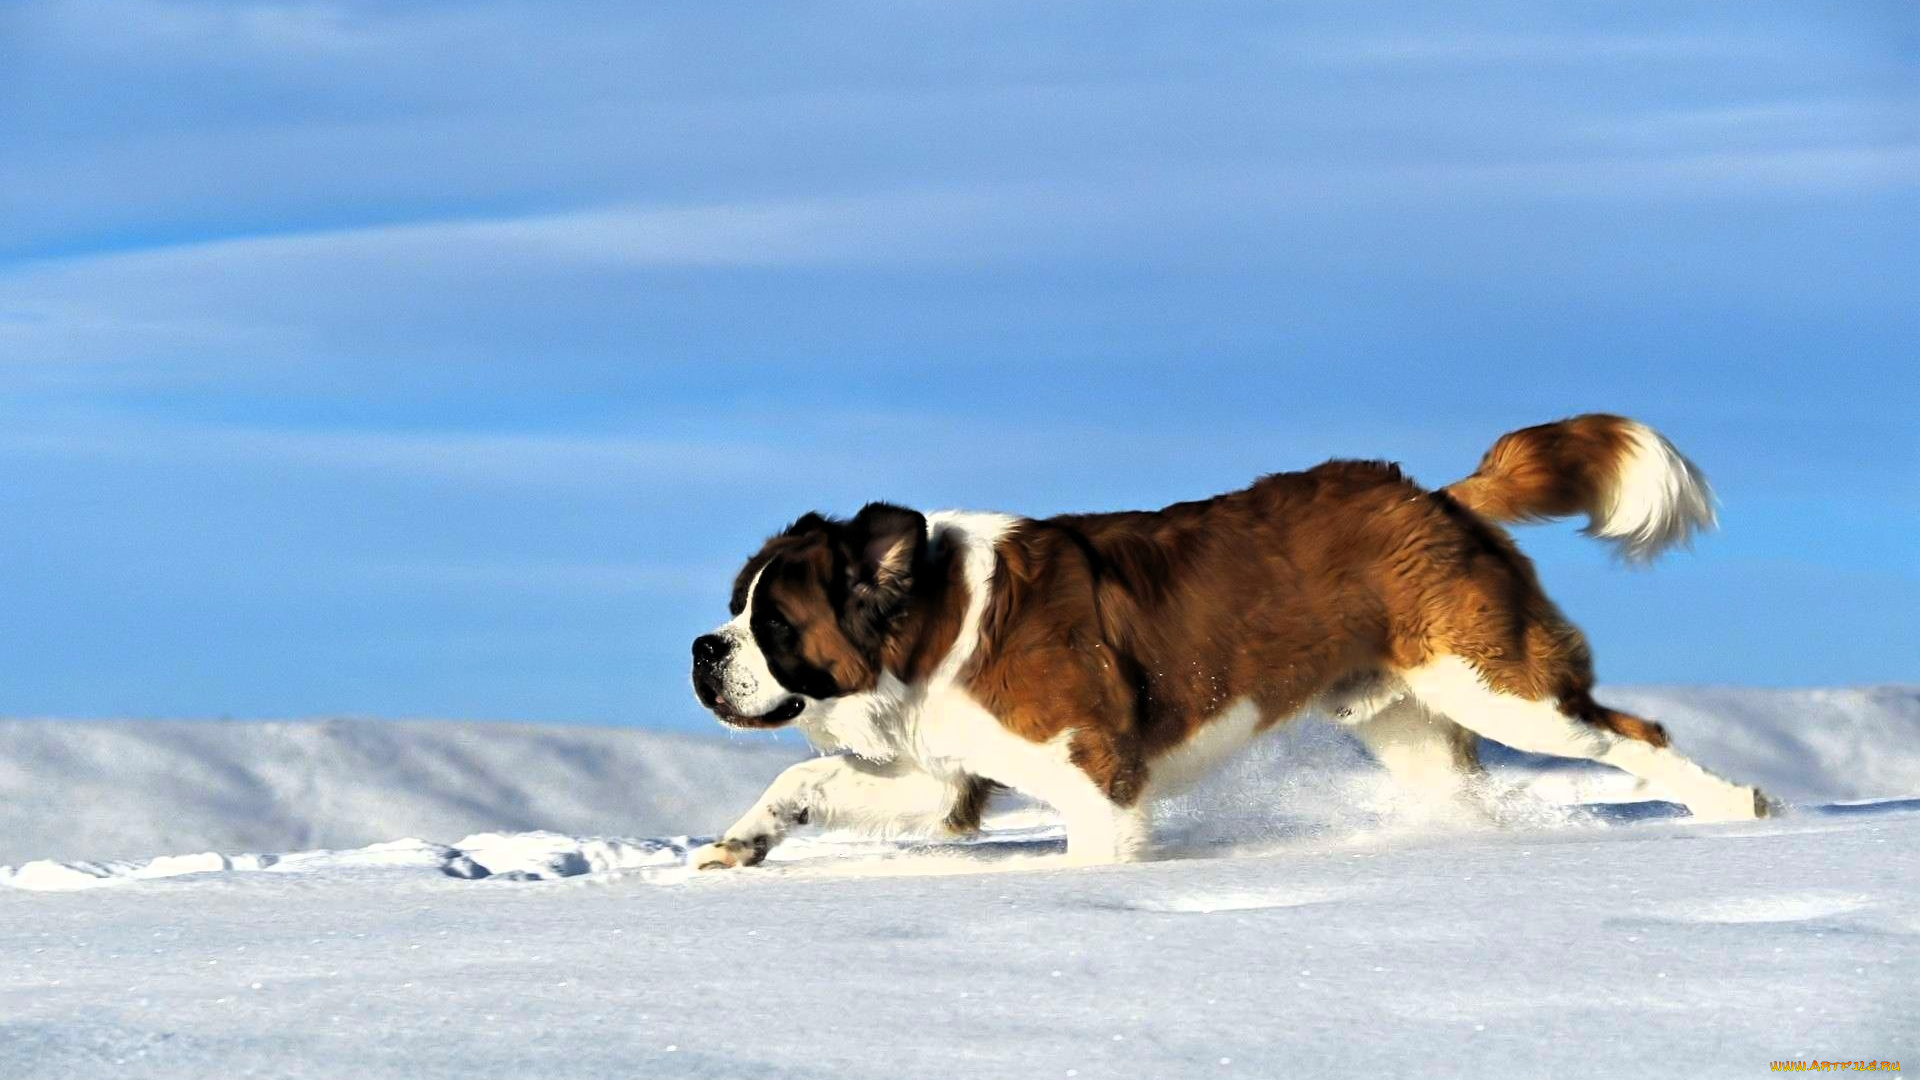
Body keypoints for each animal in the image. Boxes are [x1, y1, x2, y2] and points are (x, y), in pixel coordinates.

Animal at [691, 411, 1766, 864]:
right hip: (1410, 723)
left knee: (1633, 736)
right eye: (735, 607)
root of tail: (1433, 495)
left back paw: (1740, 807)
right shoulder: (947, 776)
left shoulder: (1099, 776)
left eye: (771, 622)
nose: (704, 649)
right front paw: (743, 843)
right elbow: (806, 778)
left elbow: (1093, 850)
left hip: (1498, 684)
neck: (933, 623)